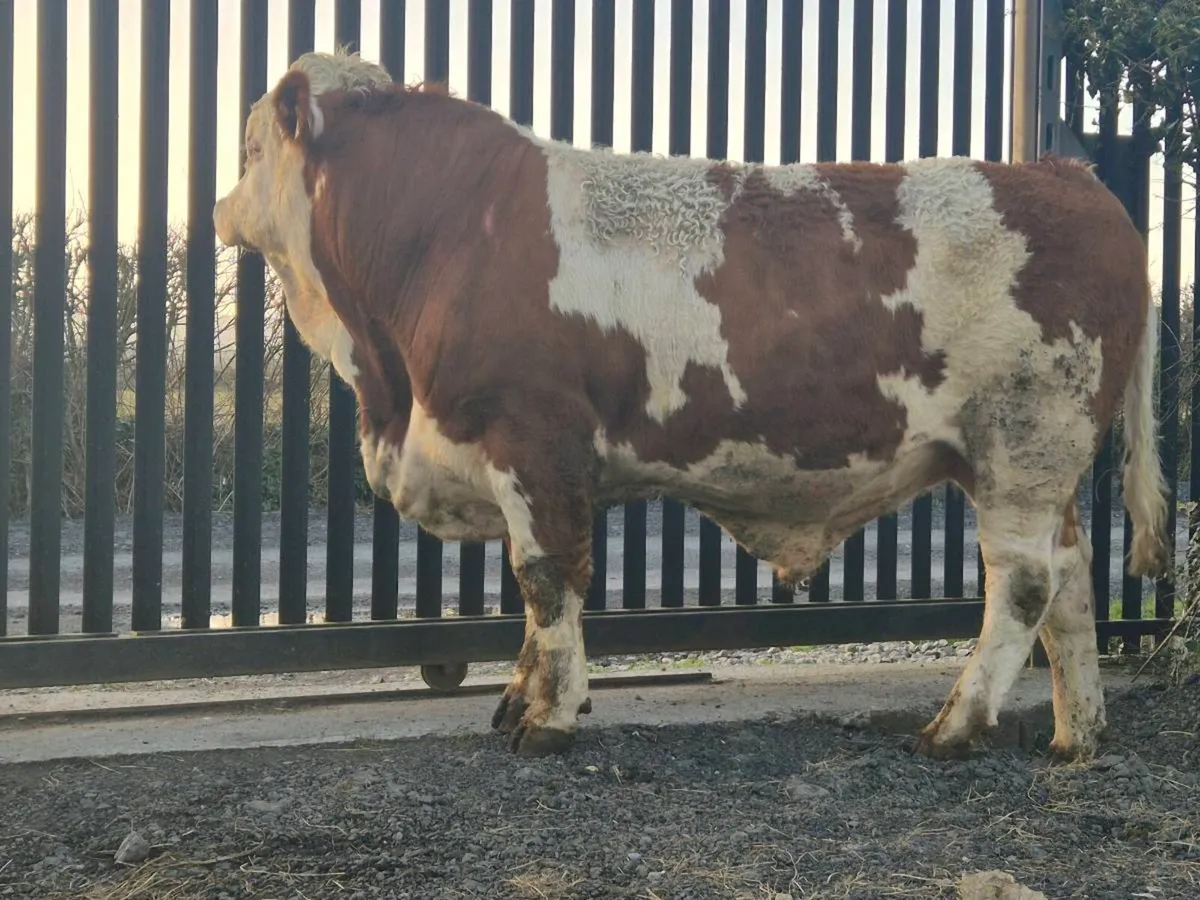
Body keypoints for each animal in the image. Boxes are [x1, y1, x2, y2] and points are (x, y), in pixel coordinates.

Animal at [213, 49, 1171, 761]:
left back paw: (955, 727)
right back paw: (1075, 734)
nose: (219, 205)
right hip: (1032, 463)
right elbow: (536, 600)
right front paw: (521, 698)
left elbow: (546, 580)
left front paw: (547, 717)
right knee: (1073, 578)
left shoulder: (534, 441)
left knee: (1024, 584)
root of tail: (1070, 178)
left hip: (1023, 446)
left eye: (251, 147)